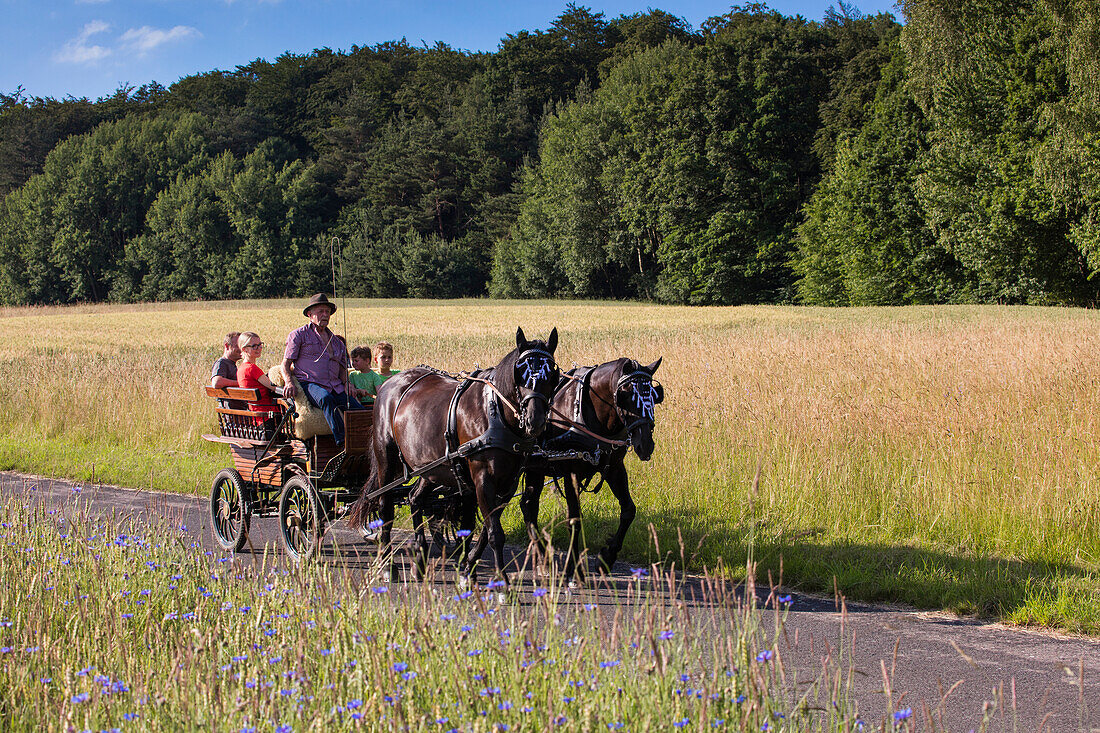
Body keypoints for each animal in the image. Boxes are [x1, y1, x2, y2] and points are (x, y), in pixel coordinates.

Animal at [347, 325, 558, 581]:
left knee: (415, 498)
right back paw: (387, 563)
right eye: (520, 373)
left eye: (552, 376)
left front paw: (468, 567)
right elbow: (494, 532)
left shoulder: (508, 483)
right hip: (386, 458)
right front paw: (501, 580)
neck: (496, 413)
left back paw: (420, 558)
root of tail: (391, 382)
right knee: (385, 505)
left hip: (431, 467)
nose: (535, 421)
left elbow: (485, 528)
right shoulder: (482, 478)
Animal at [521, 354, 664, 581]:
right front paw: (575, 570)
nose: (645, 445)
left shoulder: (615, 468)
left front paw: (606, 558)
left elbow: (629, 510)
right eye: (625, 395)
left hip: (535, 469)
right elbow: (574, 519)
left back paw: (543, 558)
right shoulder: (571, 473)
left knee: (528, 506)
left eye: (655, 394)